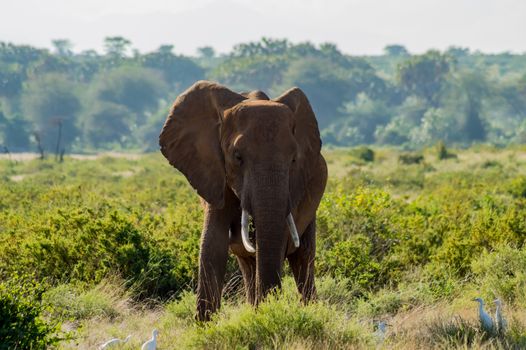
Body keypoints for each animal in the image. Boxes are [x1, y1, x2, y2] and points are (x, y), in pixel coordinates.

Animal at [159, 80, 328, 322]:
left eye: (294, 160)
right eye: (238, 157)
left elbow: (277, 245)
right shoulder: (213, 173)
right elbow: (213, 244)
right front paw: (205, 326)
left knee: (302, 257)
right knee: (249, 262)